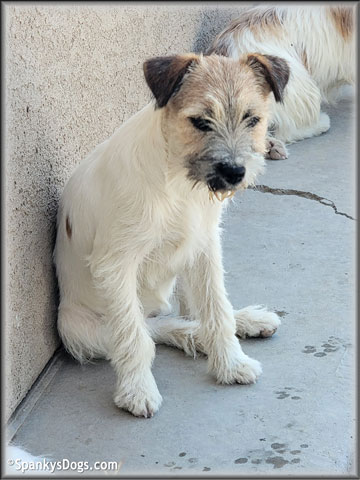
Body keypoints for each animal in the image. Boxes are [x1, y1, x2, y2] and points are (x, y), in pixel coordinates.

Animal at [52, 52, 286, 416]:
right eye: (201, 122)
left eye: (252, 119)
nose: (235, 172)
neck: (177, 179)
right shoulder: (116, 265)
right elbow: (133, 338)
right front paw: (137, 389)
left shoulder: (204, 246)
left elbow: (217, 309)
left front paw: (231, 363)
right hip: (79, 329)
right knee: (152, 329)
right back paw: (195, 339)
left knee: (191, 314)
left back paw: (245, 321)